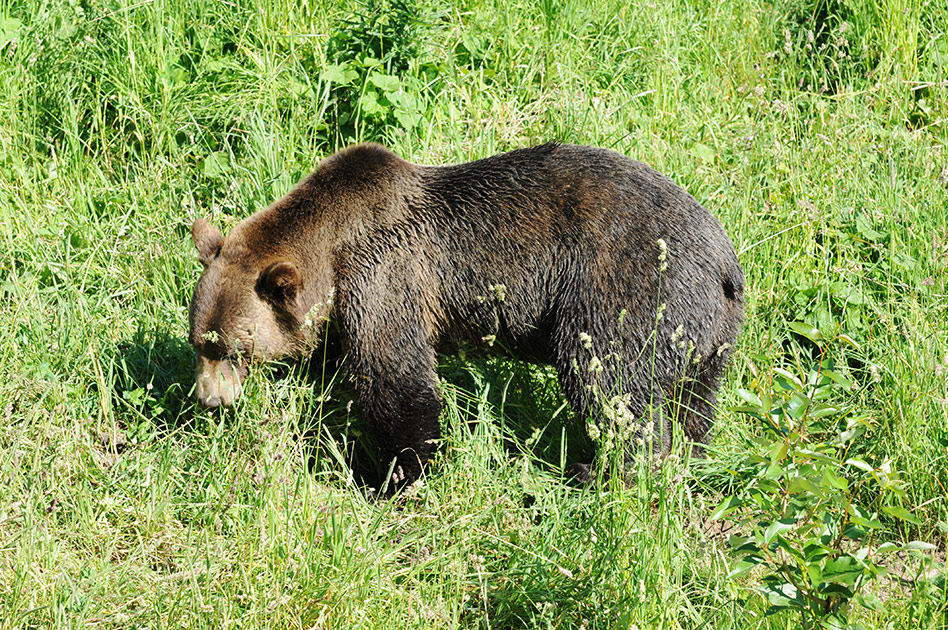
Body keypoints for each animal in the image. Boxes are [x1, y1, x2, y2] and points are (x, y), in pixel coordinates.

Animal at [189, 143, 744, 494]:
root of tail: (725, 260)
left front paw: (392, 476)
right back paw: (690, 455)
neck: (332, 251)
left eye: (232, 347)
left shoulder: (387, 274)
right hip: (707, 331)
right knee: (694, 399)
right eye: (200, 342)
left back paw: (603, 472)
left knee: (608, 381)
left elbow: (397, 382)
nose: (208, 400)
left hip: (626, 284)